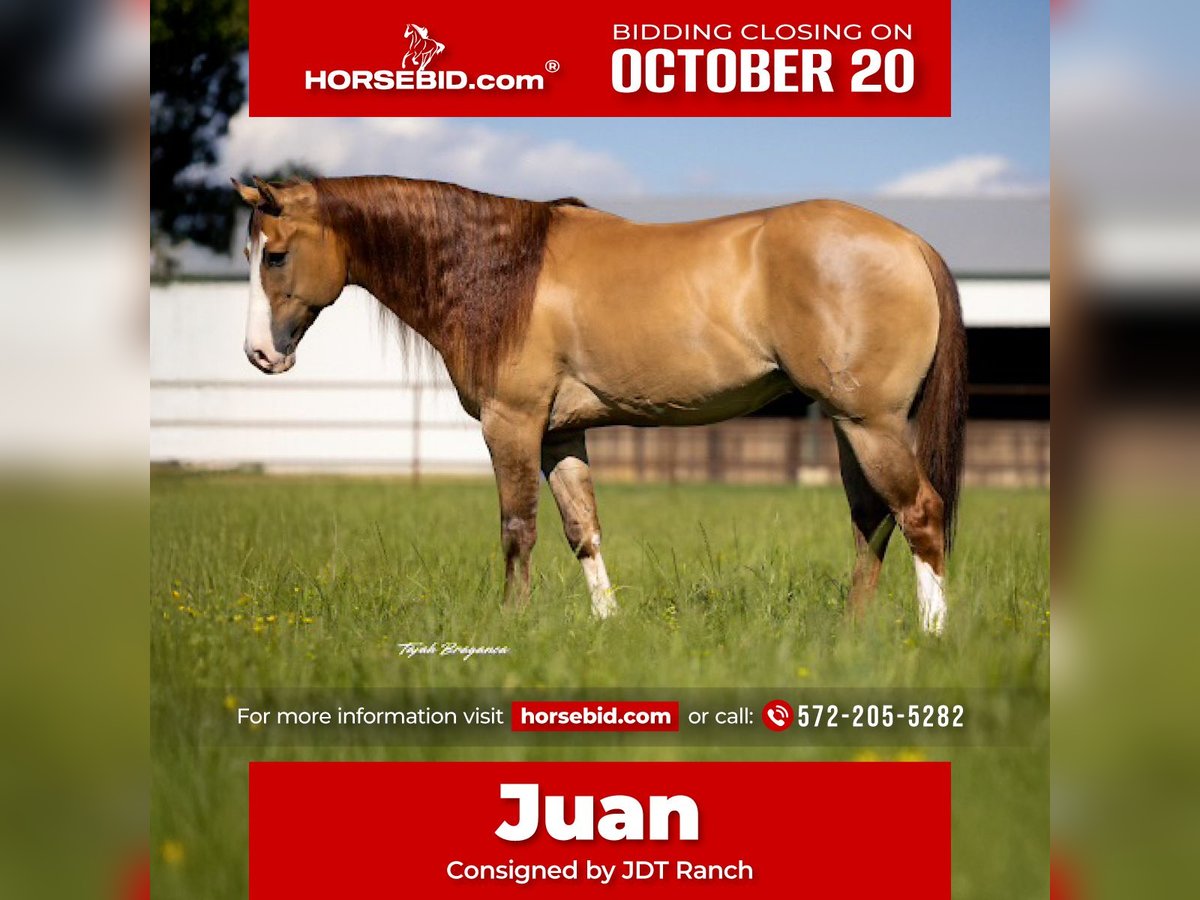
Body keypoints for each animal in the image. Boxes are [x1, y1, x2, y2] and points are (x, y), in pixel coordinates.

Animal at [232, 175, 967, 633]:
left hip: (870, 425)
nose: (260, 354)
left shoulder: (513, 424)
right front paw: (607, 625)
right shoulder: (561, 436)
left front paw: (512, 623)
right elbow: (582, 528)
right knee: (872, 521)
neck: (499, 270)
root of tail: (910, 243)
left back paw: (931, 634)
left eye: (275, 256)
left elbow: (517, 528)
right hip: (849, 427)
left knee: (920, 514)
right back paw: (851, 634)